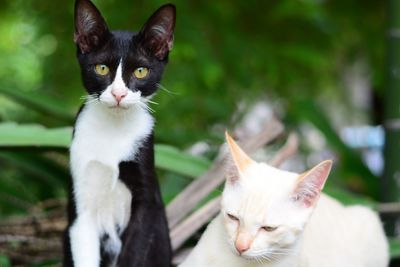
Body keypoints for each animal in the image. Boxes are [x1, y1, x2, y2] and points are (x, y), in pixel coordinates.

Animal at [64, 1, 175, 266]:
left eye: (141, 71)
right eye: (102, 68)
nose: (118, 94)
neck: (113, 130)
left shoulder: (147, 200)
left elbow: (135, 250)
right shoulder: (81, 204)